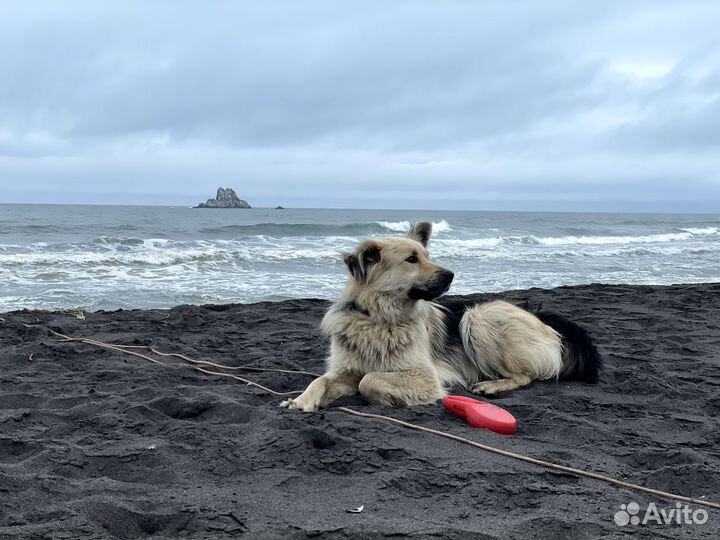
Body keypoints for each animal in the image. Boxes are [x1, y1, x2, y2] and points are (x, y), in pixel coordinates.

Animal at [282, 221, 600, 412]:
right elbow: (321, 380)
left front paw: (386, 398)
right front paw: (301, 400)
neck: (379, 319)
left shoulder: (425, 376)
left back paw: (492, 384)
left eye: (426, 255)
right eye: (412, 259)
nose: (451, 275)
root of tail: (542, 319)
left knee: (527, 375)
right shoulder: (345, 368)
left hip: (478, 316)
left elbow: (369, 379)